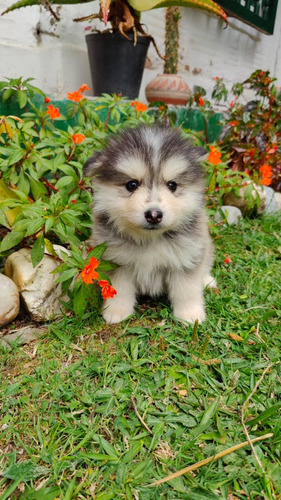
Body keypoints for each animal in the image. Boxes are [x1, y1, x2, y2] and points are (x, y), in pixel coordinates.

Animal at [83, 125, 214, 324]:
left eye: (172, 185)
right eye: (131, 184)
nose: (154, 215)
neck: (151, 239)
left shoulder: (185, 258)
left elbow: (187, 290)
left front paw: (190, 314)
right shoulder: (117, 261)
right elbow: (119, 289)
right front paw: (117, 311)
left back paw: (207, 281)